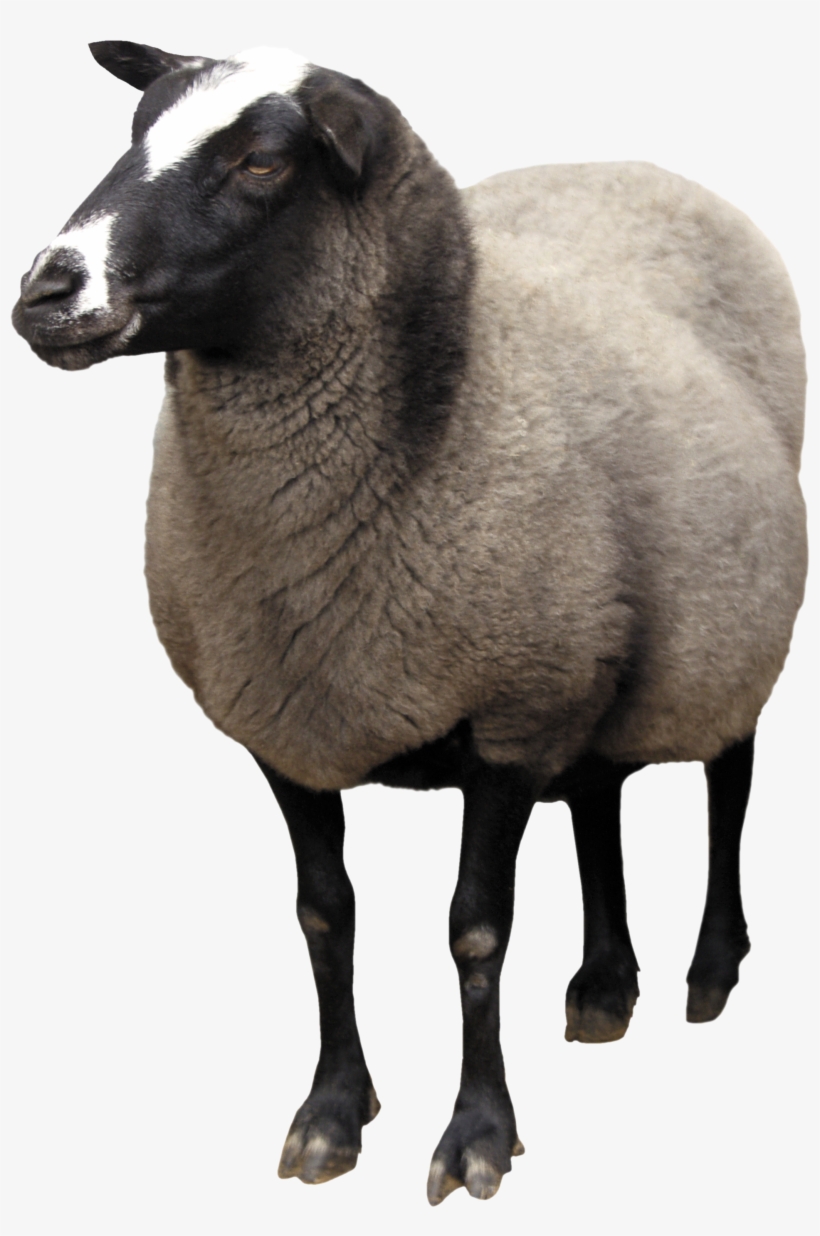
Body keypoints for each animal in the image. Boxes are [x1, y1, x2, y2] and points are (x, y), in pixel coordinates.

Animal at [12, 41, 807, 1206]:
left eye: (262, 160)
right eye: (135, 133)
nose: (46, 291)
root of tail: (636, 165)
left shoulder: (509, 719)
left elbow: (476, 933)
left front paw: (478, 1135)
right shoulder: (289, 724)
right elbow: (325, 916)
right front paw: (331, 1115)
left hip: (715, 623)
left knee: (729, 777)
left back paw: (710, 969)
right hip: (595, 643)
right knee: (601, 794)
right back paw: (604, 987)